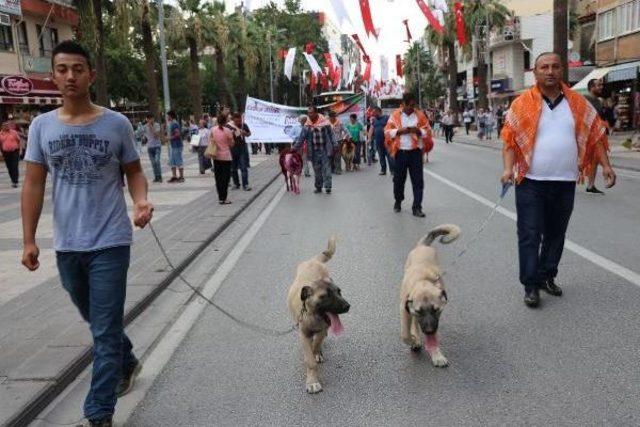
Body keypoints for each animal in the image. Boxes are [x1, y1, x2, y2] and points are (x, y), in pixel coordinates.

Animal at [288, 237, 352, 394]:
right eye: (325, 296)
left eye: (339, 292)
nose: (347, 306)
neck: (312, 315)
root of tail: (312, 260)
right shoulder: (303, 334)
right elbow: (310, 359)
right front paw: (312, 381)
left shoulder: (323, 328)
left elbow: (317, 344)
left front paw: (316, 352)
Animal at [400, 224, 460, 368]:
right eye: (419, 311)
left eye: (435, 310)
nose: (428, 331)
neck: (422, 281)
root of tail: (423, 246)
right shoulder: (404, 310)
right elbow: (405, 335)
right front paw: (414, 341)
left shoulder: (436, 318)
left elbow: (433, 337)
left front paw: (436, 355)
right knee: (414, 323)